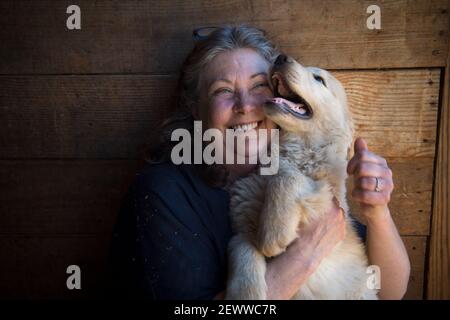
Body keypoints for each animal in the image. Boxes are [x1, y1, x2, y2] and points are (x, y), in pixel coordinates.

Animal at [227, 54, 378, 300]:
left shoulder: (328, 198)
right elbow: (239, 244)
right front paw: (244, 293)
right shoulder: (244, 218)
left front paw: (273, 232)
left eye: (319, 79)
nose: (280, 57)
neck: (296, 149)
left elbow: (287, 177)